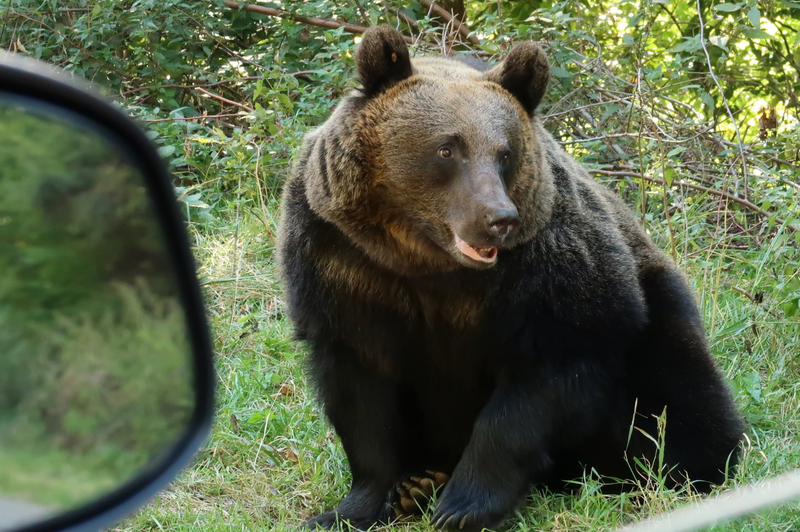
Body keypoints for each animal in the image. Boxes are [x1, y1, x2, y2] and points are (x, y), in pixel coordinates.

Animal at [278, 22, 748, 528]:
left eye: (504, 153)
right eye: (447, 148)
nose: (498, 218)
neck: (428, 261)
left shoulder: (548, 274)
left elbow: (540, 383)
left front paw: (464, 506)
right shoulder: (344, 268)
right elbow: (363, 401)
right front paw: (355, 506)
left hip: (656, 310)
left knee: (681, 388)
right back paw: (419, 482)